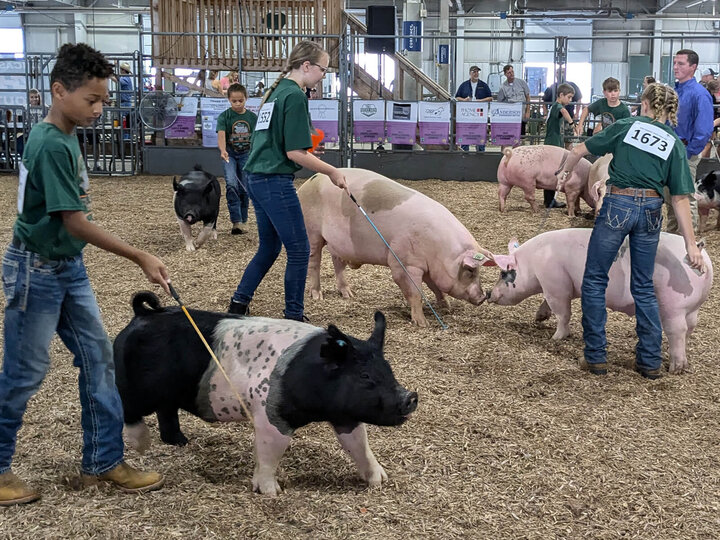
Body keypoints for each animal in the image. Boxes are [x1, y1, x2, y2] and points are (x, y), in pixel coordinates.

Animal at [112, 294, 416, 496]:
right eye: (364, 376)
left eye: (388, 370)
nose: (410, 397)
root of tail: (142, 315)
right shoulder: (271, 415)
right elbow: (270, 453)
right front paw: (273, 492)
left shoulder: (345, 416)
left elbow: (359, 446)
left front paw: (380, 480)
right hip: (133, 385)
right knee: (126, 407)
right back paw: (141, 445)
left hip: (167, 394)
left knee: (166, 411)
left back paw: (180, 442)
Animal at [298, 169, 496, 326]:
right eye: (470, 271)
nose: (483, 296)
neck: (441, 251)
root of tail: (306, 184)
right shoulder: (404, 263)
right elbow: (415, 293)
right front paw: (422, 323)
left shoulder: (427, 266)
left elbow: (434, 286)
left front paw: (445, 306)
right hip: (311, 232)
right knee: (314, 262)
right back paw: (317, 295)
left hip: (337, 244)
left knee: (337, 263)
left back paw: (349, 294)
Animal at [486, 229, 712, 376]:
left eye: (504, 273)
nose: (489, 294)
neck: (532, 262)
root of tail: (699, 254)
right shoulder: (560, 287)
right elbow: (547, 303)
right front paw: (539, 318)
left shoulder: (556, 284)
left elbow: (562, 313)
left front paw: (556, 338)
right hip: (692, 308)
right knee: (690, 328)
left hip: (673, 306)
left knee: (678, 331)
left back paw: (676, 368)